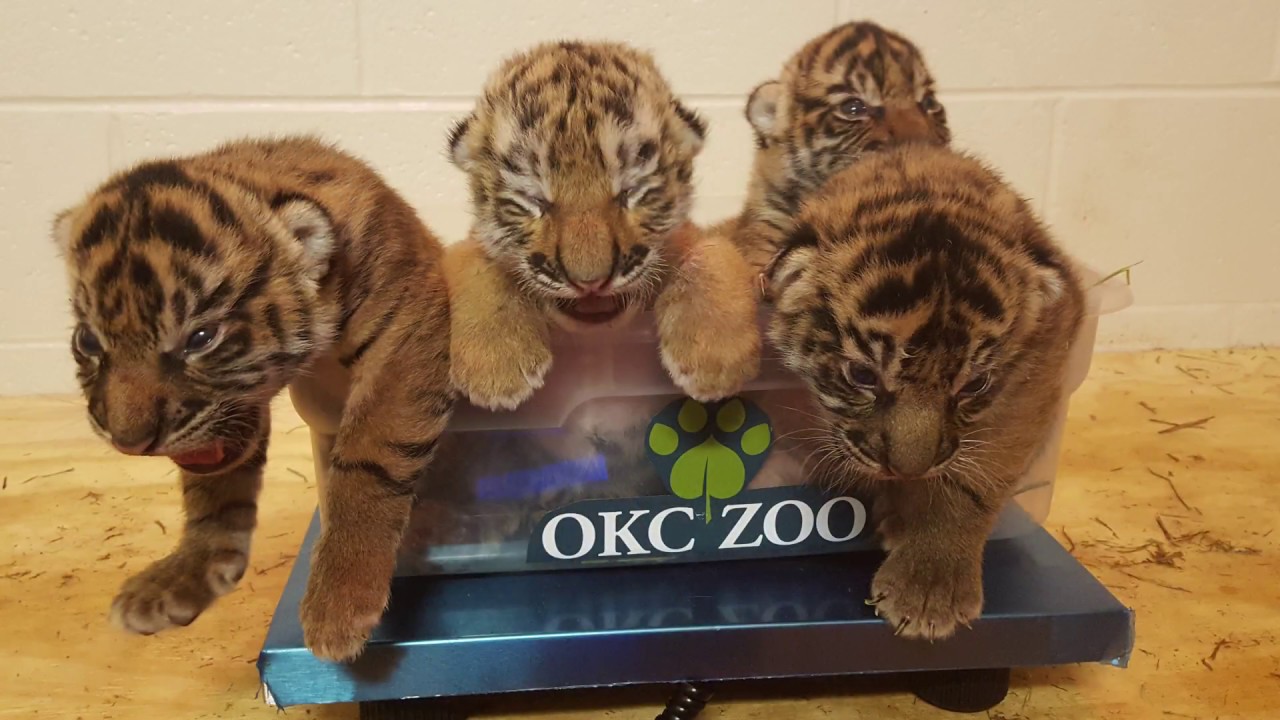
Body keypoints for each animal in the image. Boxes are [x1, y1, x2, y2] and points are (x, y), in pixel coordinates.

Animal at [51, 136, 453, 662]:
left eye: (201, 338)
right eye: (88, 341)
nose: (129, 443)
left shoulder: (405, 331)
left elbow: (368, 461)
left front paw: (339, 603)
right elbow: (212, 494)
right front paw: (183, 574)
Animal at [445, 40, 760, 411]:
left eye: (631, 192)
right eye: (534, 199)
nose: (590, 282)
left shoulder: (696, 235)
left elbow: (713, 253)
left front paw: (715, 362)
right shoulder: (464, 246)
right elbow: (474, 262)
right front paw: (497, 369)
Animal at [764, 142, 1085, 641]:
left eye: (974, 384)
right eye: (862, 375)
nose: (907, 471)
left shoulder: (1036, 376)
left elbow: (970, 481)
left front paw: (930, 586)